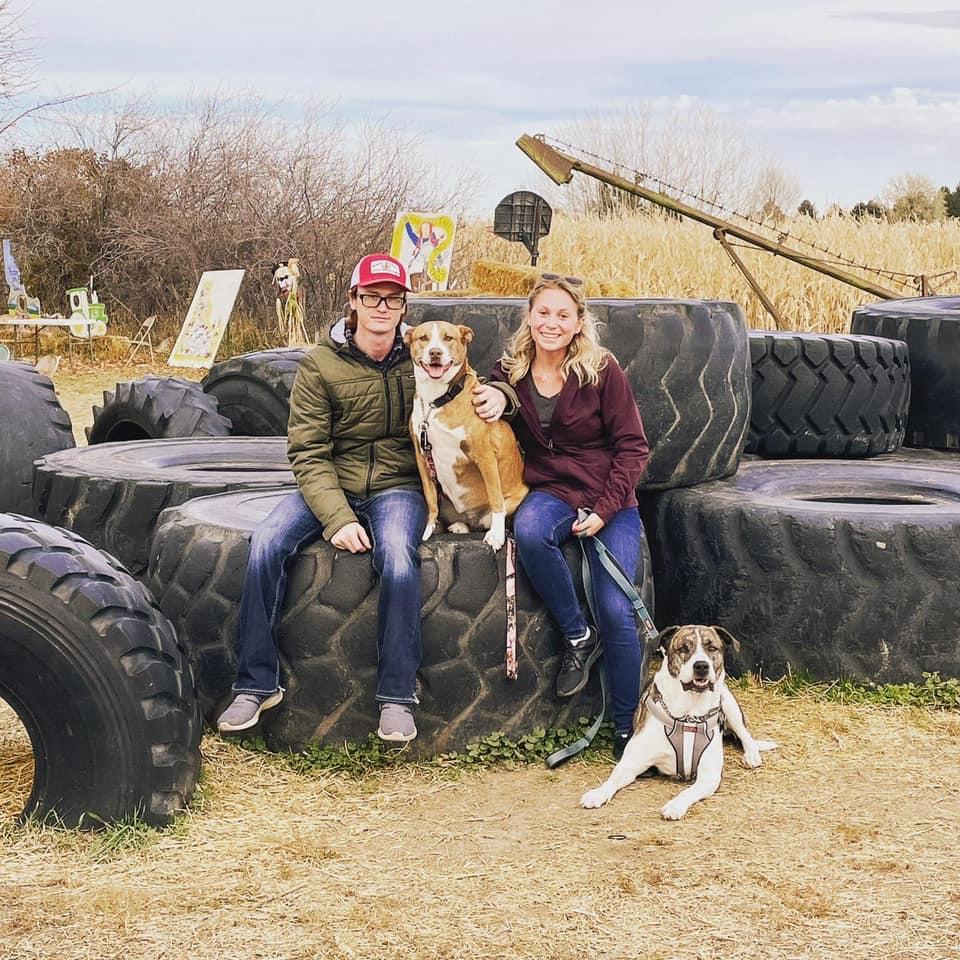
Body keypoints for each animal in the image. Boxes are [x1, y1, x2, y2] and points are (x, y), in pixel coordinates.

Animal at [405, 320, 527, 551]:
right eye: (423, 338)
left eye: (448, 338)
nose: (435, 353)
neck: (436, 400)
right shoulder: (421, 456)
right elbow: (430, 499)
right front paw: (428, 528)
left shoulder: (485, 456)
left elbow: (496, 498)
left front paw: (496, 536)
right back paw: (459, 526)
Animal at [580, 625, 778, 820]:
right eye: (683, 648)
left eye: (711, 648)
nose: (701, 666)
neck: (689, 716)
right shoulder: (631, 763)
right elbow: (612, 779)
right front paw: (598, 793)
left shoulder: (709, 776)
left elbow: (688, 792)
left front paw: (675, 806)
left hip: (728, 702)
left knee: (745, 734)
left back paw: (751, 755)